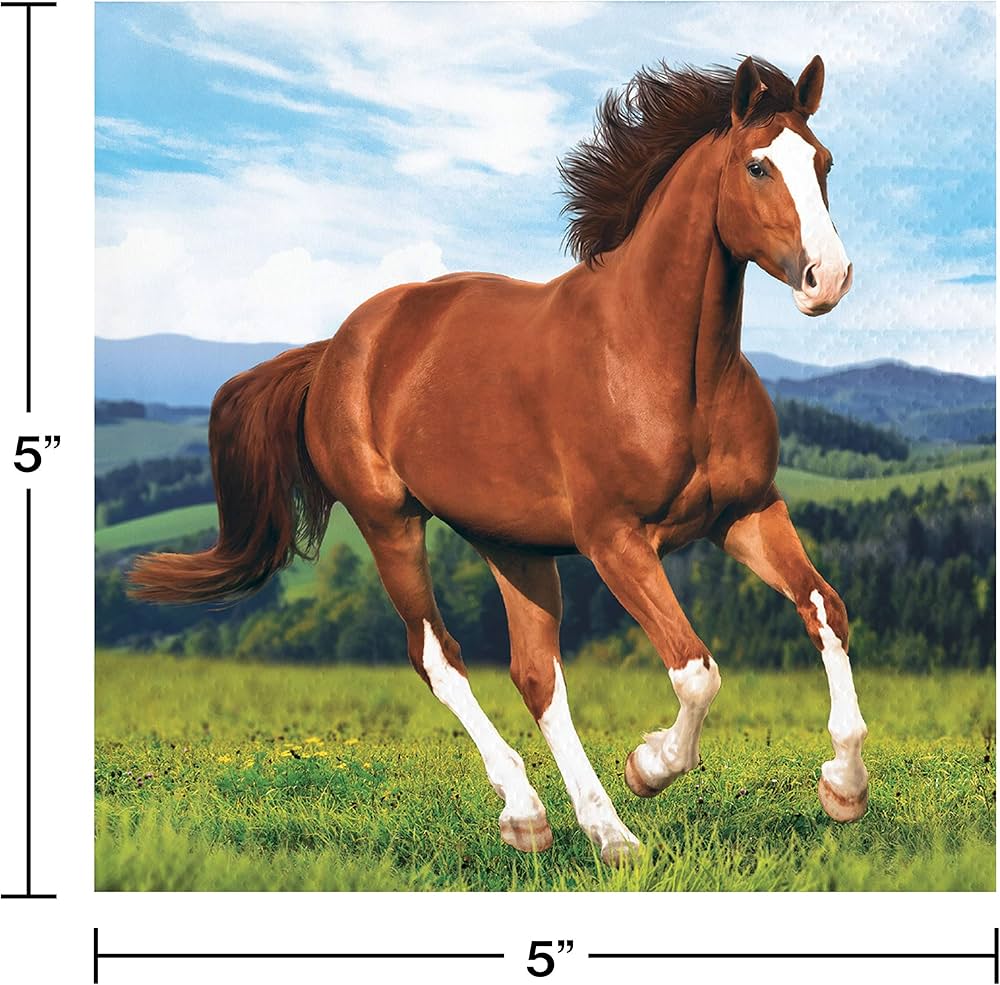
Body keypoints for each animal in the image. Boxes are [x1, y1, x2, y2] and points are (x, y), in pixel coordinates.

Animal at [129, 55, 868, 865]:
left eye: (824, 162)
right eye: (758, 165)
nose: (828, 278)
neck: (657, 358)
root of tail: (336, 351)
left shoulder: (746, 512)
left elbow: (826, 609)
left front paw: (844, 788)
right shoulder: (614, 540)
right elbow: (695, 670)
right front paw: (648, 766)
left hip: (514, 544)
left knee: (535, 674)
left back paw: (601, 832)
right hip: (389, 523)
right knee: (439, 657)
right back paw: (535, 815)